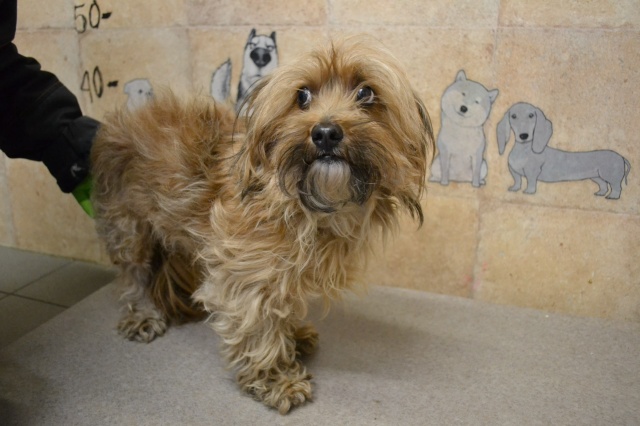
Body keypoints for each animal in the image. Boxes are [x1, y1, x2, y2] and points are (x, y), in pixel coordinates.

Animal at [91, 36, 434, 414]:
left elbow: (281, 307)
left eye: (366, 93)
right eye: (302, 96)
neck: (307, 206)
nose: (325, 133)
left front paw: (292, 336)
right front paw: (275, 378)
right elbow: (257, 325)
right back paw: (142, 314)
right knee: (133, 276)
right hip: (129, 226)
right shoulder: (246, 275)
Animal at [497, 102, 631, 199]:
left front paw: (529, 192)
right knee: (604, 185)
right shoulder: (513, 171)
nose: (523, 136)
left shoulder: (532, 172)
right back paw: (600, 193)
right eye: (513, 116)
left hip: (611, 175)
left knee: (616, 186)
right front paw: (514, 189)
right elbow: (517, 180)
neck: (524, 151)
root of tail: (621, 156)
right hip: (596, 176)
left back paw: (613, 197)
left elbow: (530, 182)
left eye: (531, 115)